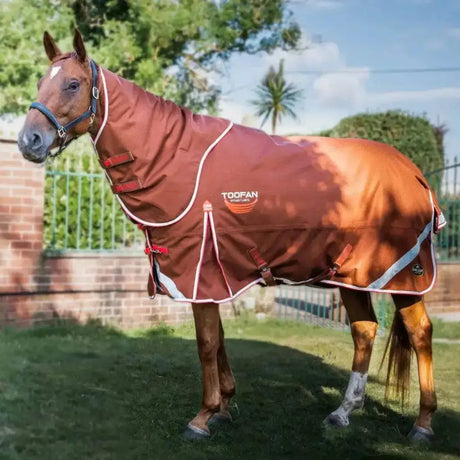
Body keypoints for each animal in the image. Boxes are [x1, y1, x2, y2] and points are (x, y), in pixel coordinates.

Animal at [17, 29, 442, 442]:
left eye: (73, 84)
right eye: (40, 82)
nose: (28, 141)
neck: (173, 158)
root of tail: (414, 174)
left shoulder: (200, 271)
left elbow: (206, 344)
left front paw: (202, 418)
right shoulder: (211, 278)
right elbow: (218, 339)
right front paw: (223, 408)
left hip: (403, 275)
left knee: (420, 332)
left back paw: (423, 424)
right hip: (352, 275)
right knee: (364, 331)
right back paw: (342, 413)